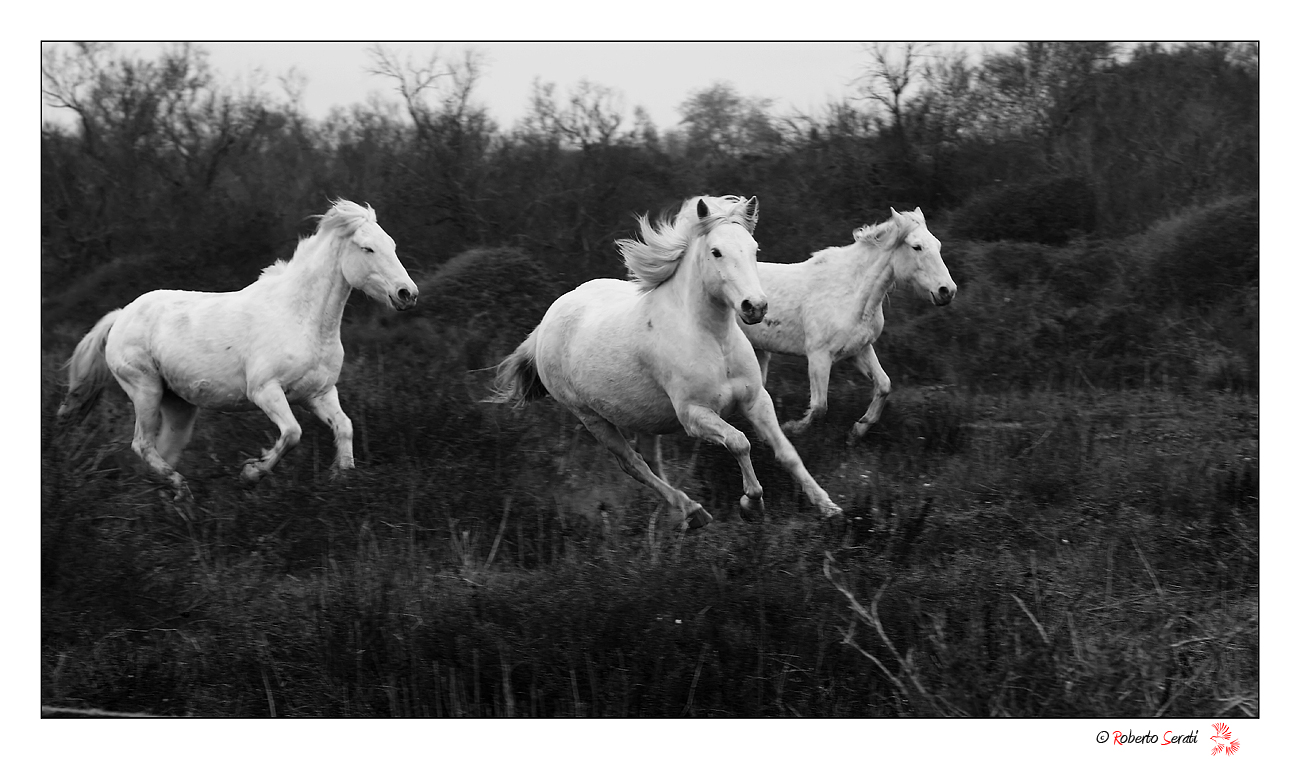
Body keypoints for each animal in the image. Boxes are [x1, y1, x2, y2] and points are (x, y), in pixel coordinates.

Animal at [57, 199, 419, 498]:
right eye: (367, 249)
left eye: (392, 245)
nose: (407, 294)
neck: (300, 318)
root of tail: (121, 316)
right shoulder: (265, 391)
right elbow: (292, 433)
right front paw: (250, 473)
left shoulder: (320, 393)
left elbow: (345, 427)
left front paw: (341, 478)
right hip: (145, 389)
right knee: (142, 444)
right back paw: (181, 489)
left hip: (179, 405)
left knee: (163, 450)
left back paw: (176, 503)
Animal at [492, 195, 842, 529]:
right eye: (716, 252)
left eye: (754, 249)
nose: (754, 307)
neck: (714, 342)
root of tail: (545, 324)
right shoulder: (694, 415)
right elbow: (739, 442)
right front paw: (751, 505)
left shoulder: (756, 400)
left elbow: (787, 453)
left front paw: (829, 509)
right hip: (591, 418)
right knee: (633, 464)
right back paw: (693, 511)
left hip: (643, 416)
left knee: (650, 460)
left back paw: (684, 514)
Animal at [740, 207, 955, 442]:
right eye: (917, 247)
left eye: (938, 245)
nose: (947, 291)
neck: (851, 292)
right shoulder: (818, 356)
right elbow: (819, 407)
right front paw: (791, 428)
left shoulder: (860, 350)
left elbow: (884, 386)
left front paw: (857, 430)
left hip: (759, 352)